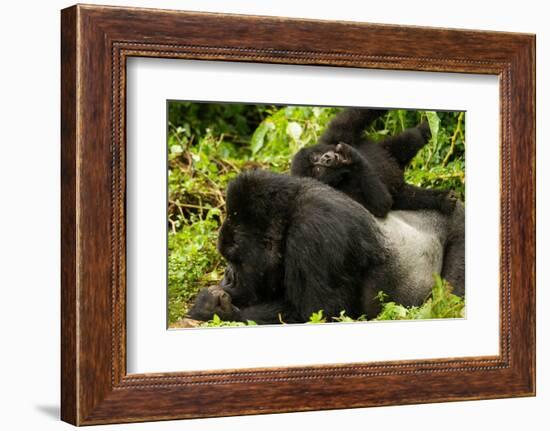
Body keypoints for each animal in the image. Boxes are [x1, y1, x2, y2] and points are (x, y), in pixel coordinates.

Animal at [190, 169, 466, 324]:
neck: (288, 218)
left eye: (234, 259)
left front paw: (213, 311)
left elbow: (319, 314)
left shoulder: (314, 232)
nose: (226, 276)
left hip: (460, 227)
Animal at [292, 106, 460, 218]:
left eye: (315, 158)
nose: (326, 159)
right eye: (317, 170)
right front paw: (354, 157)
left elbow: (358, 115)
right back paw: (442, 200)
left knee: (412, 138)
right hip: (399, 190)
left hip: (388, 150)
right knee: (408, 197)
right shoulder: (342, 195)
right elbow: (381, 205)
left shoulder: (333, 135)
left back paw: (425, 129)